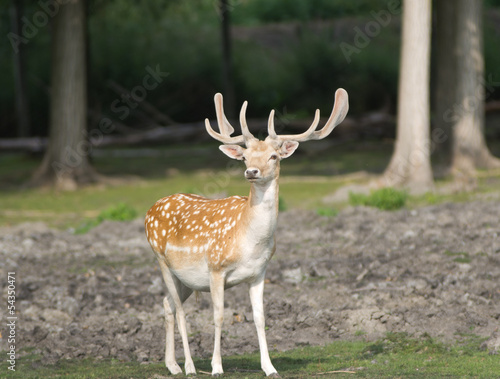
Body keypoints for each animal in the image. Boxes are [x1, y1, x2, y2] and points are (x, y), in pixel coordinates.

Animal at [145, 89, 348, 378]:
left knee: (167, 304)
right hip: (161, 259)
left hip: (185, 278)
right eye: (245, 156)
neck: (249, 242)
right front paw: (217, 367)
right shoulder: (216, 268)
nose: (251, 171)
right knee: (181, 310)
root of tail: (151, 208)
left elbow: (260, 317)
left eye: (273, 156)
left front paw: (270, 367)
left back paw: (172, 364)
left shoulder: (259, 272)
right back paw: (190, 367)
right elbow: (218, 316)